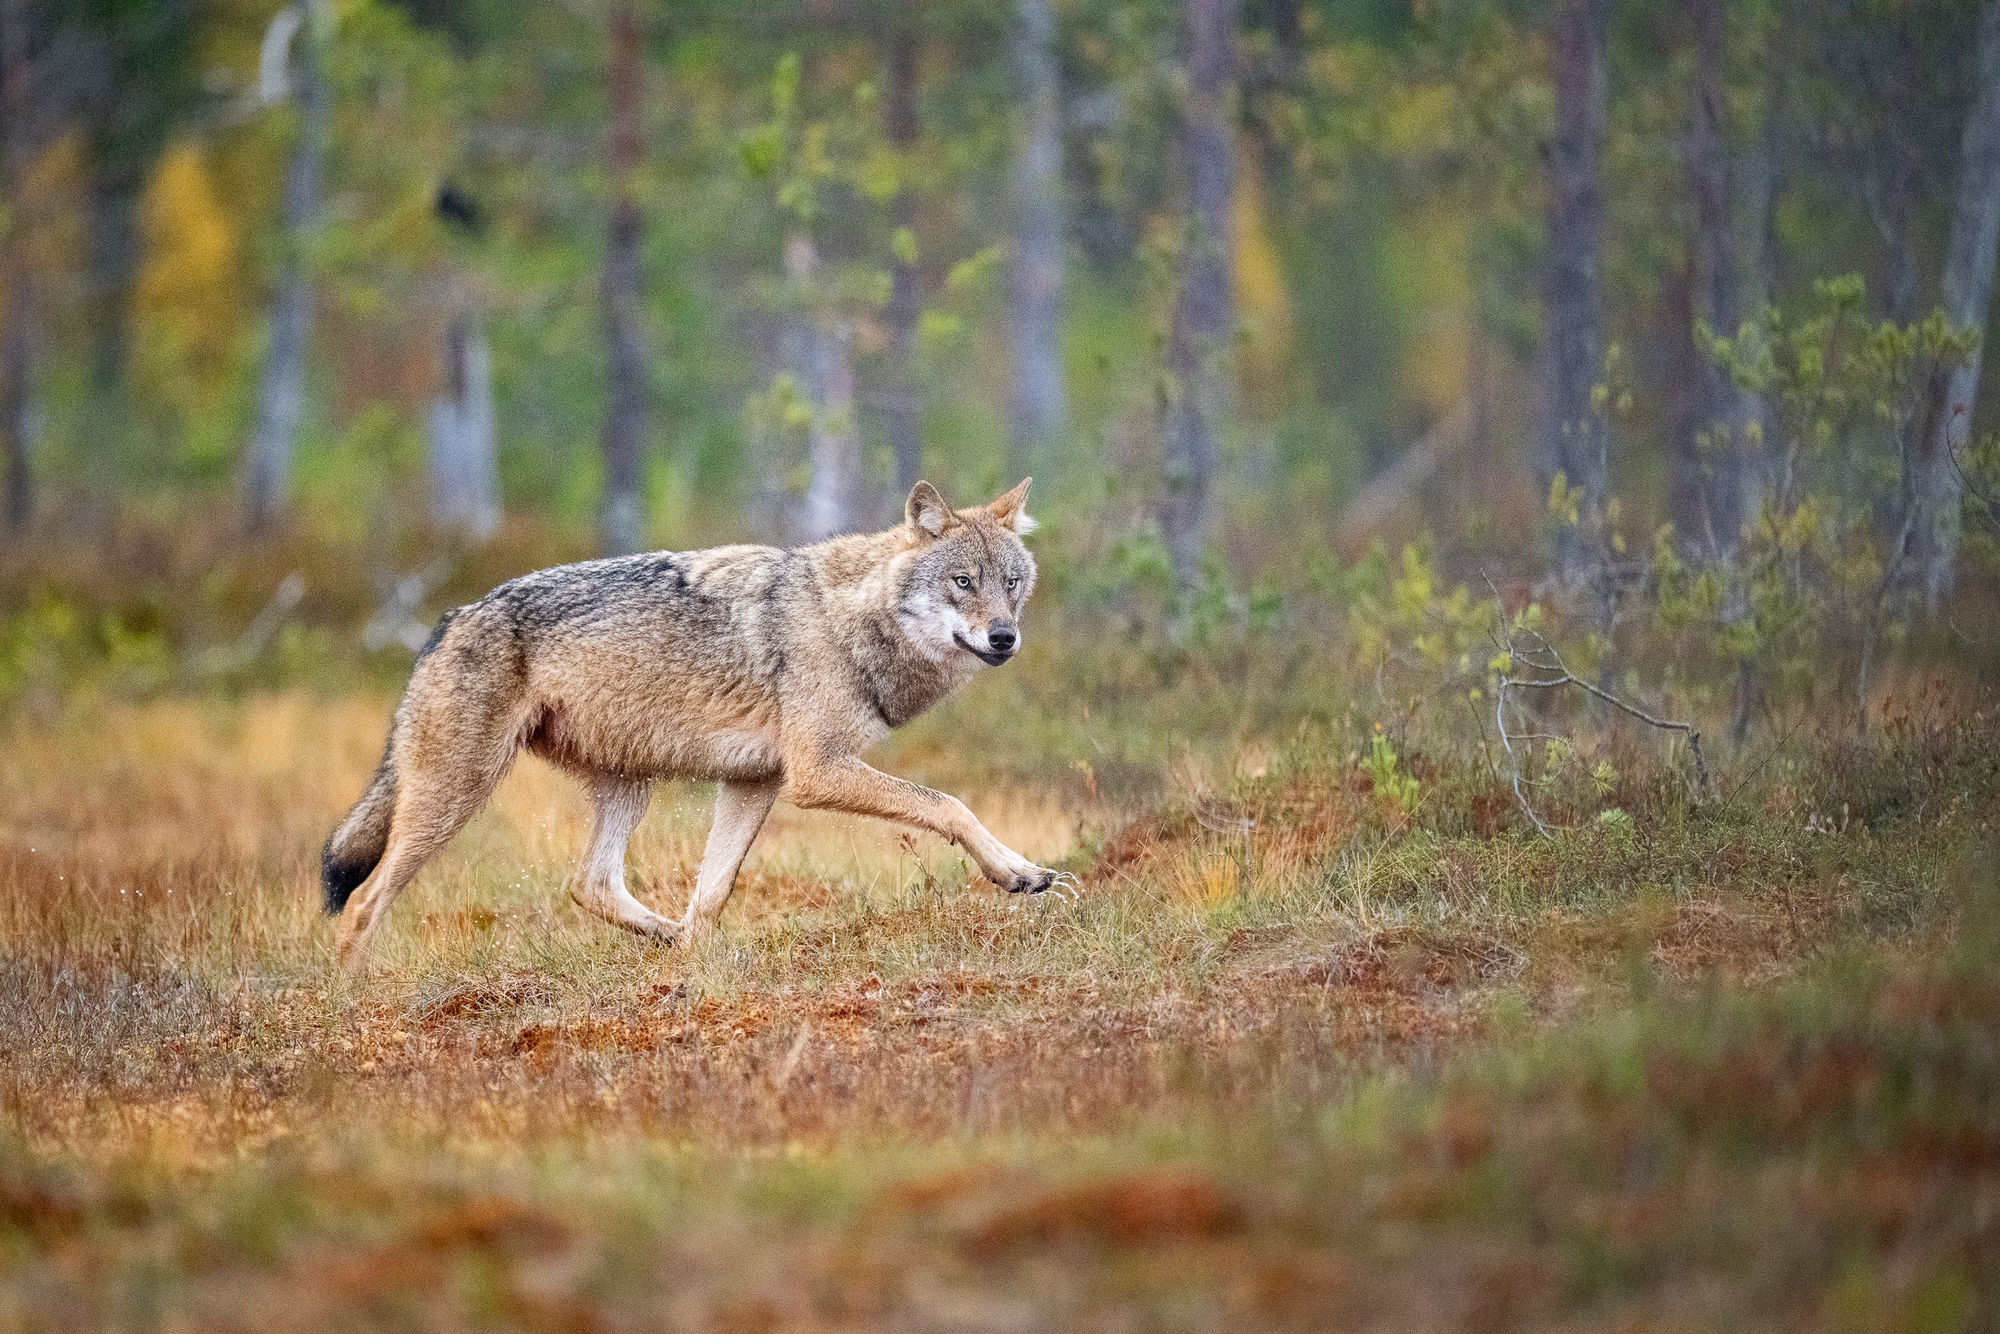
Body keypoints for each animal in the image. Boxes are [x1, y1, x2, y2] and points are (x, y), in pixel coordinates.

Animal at [321, 478, 1059, 971]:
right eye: (963, 582)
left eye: (1011, 583)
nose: (1003, 637)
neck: (849, 620)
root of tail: (450, 619)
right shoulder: (816, 774)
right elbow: (951, 804)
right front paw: (1015, 872)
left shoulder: (755, 783)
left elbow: (713, 891)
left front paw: (699, 964)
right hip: (456, 796)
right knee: (362, 903)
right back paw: (358, 999)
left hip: (628, 787)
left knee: (589, 884)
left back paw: (667, 936)